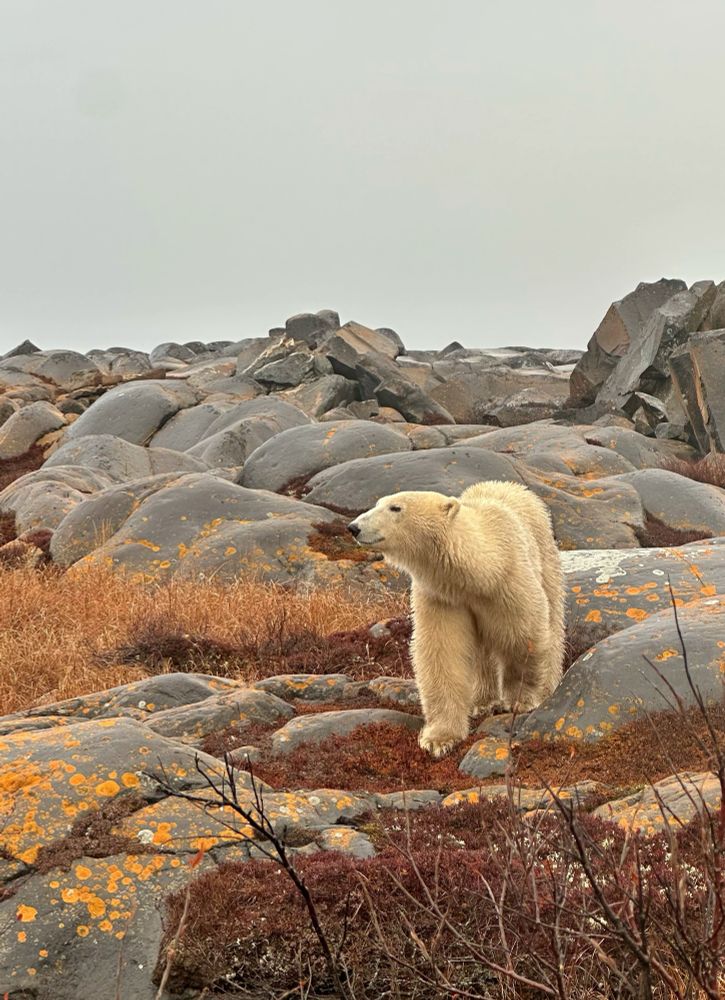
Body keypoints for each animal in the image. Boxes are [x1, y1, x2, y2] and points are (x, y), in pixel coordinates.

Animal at [347, 481, 565, 758]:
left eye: (395, 507)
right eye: (377, 503)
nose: (354, 527)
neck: (479, 570)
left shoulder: (509, 581)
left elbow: (522, 636)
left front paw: (522, 699)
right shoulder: (443, 596)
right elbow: (442, 653)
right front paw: (438, 739)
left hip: (546, 559)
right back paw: (482, 701)